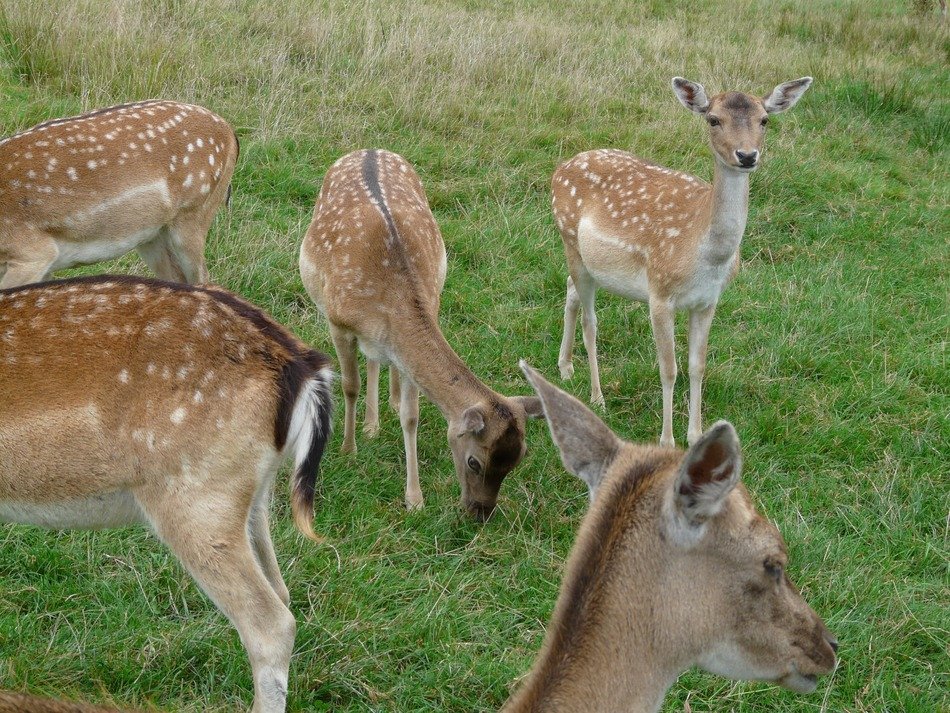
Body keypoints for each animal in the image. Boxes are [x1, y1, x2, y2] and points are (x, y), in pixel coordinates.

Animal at [299, 149, 542, 518]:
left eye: (518, 460)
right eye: (474, 462)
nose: (480, 513)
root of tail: (369, 149)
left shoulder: (426, 312)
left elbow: (410, 415)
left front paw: (414, 499)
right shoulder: (337, 323)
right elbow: (350, 386)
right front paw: (348, 450)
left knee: (380, 361)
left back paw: (381, 412)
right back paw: (368, 426)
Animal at [553, 77, 813, 447]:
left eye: (765, 120)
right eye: (713, 119)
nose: (747, 155)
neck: (706, 256)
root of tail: (560, 168)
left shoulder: (708, 301)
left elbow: (697, 365)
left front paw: (696, 434)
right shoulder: (660, 295)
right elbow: (668, 368)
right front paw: (667, 441)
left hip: (589, 263)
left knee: (570, 290)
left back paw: (565, 367)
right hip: (569, 237)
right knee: (591, 321)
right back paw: (597, 396)